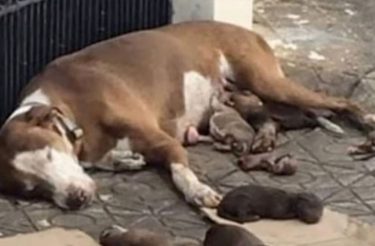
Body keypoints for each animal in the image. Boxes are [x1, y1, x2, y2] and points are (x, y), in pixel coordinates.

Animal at [0, 20, 374, 209]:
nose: (75, 200)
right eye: (32, 190)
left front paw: (198, 192)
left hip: (268, 82)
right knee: (285, 116)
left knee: (340, 103)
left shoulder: (164, 141)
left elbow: (180, 171)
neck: (73, 112)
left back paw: (367, 128)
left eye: (51, 154)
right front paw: (124, 161)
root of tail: (247, 30)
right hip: (260, 96)